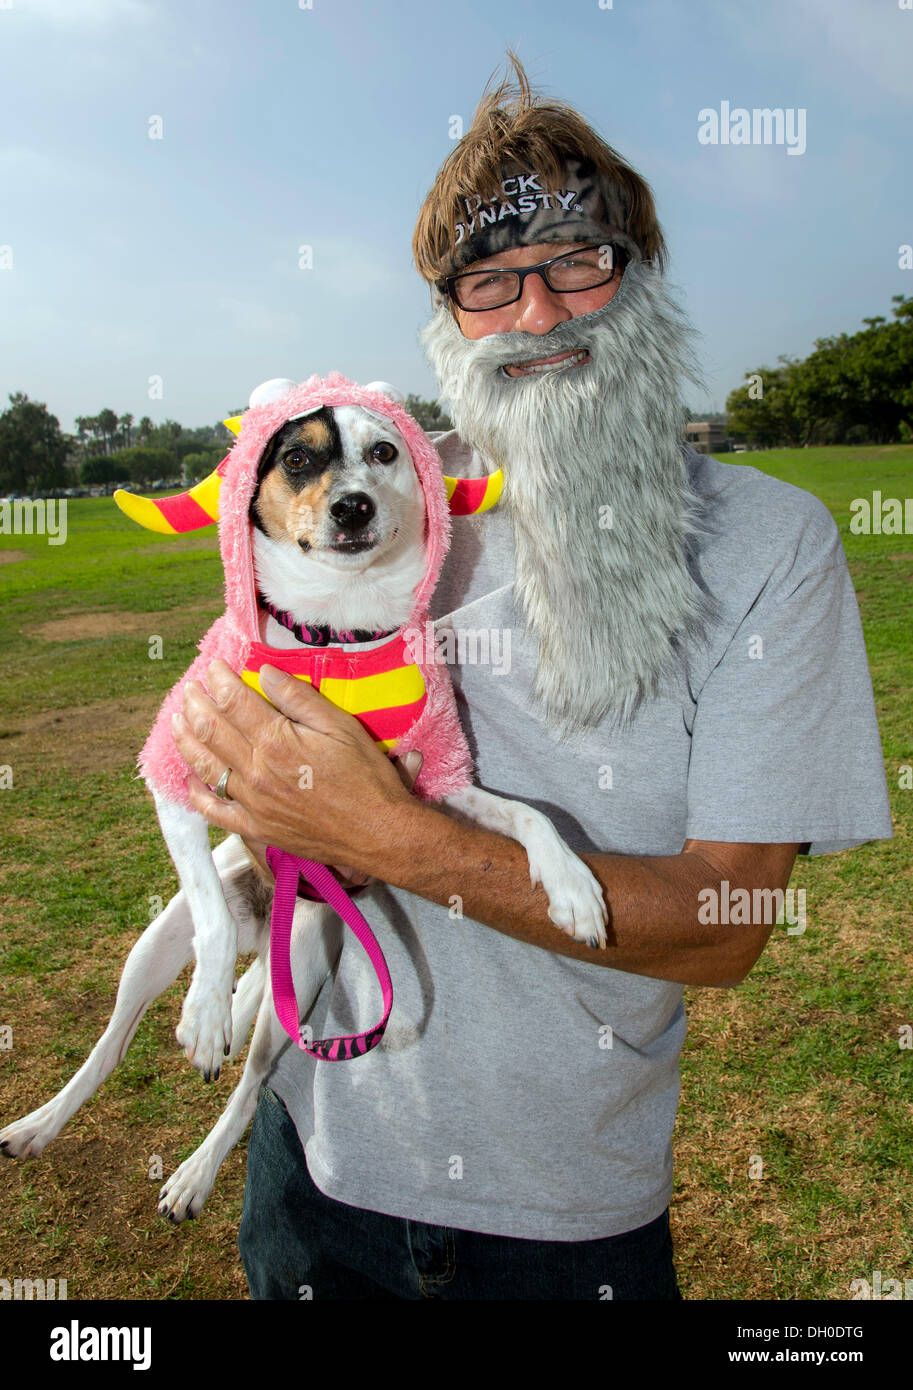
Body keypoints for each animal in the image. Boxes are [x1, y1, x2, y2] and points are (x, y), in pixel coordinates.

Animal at [0, 375, 605, 1223]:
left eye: (383, 451)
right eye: (295, 458)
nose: (351, 507)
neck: (331, 633)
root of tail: (272, 925)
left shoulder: (434, 785)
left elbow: (530, 814)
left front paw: (574, 888)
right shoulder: (175, 774)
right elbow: (209, 914)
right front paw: (203, 1009)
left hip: (307, 972)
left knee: (252, 1080)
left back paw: (195, 1169)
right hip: (151, 946)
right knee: (114, 1040)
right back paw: (51, 1116)